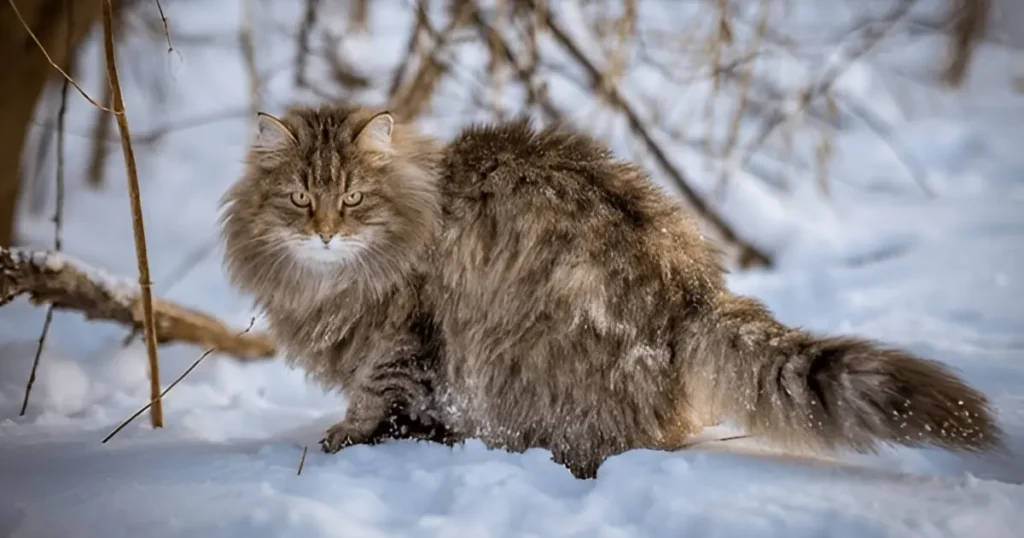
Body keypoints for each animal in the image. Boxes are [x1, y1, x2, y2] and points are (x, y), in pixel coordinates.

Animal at [218, 102, 999, 475]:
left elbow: (379, 395)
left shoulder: (405, 334)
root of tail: (694, 290)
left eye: (352, 200)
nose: (324, 233)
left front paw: (349, 440)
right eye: (299, 199)